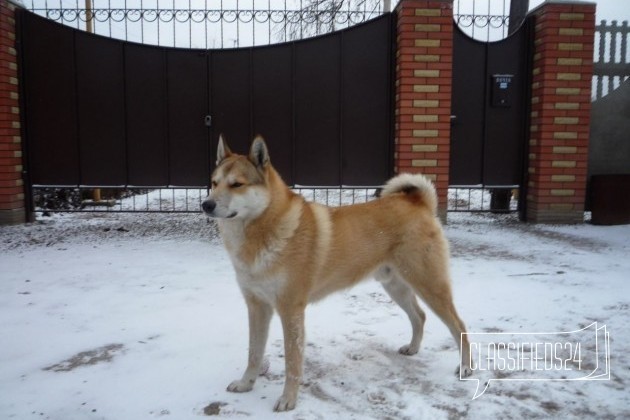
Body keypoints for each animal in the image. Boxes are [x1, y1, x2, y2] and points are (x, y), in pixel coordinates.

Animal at [204, 136, 474, 412]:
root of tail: (418, 203)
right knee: (419, 316)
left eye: (237, 184)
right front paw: (246, 384)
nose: (206, 204)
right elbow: (254, 353)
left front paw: (288, 399)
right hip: (395, 286)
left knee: (459, 326)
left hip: (430, 286)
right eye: (214, 183)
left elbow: (292, 362)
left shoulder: (290, 311)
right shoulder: (257, 306)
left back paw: (465, 367)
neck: (264, 229)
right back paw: (413, 348)